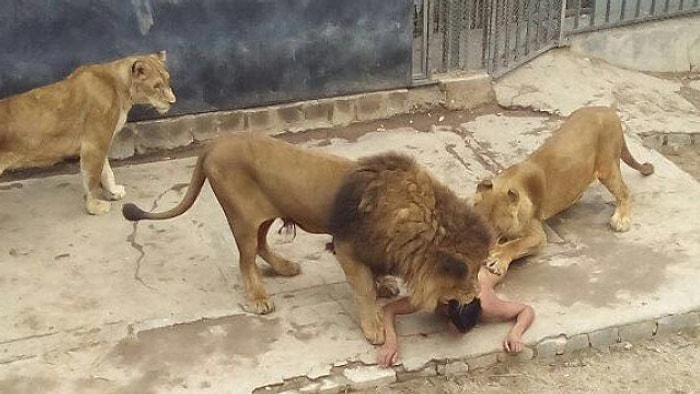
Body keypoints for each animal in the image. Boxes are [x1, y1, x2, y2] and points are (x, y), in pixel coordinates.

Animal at [0, 52, 175, 215]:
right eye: (156, 86)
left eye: (168, 80)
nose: (173, 101)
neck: (121, 87)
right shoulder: (94, 143)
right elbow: (93, 177)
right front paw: (95, 206)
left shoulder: (102, 140)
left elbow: (106, 171)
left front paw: (113, 192)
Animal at [121, 133, 492, 344]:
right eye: (470, 272)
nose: (476, 295)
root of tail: (214, 144)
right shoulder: (346, 247)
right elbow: (363, 290)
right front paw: (374, 327)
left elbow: (375, 276)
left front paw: (385, 284)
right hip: (242, 217)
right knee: (245, 258)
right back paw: (259, 298)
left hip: (265, 215)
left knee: (261, 245)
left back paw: (285, 267)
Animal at [474, 106, 652, 276]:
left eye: (497, 228)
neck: (508, 181)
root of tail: (609, 111)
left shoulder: (537, 235)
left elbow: (516, 244)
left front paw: (498, 258)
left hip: (607, 167)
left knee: (624, 192)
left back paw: (621, 220)